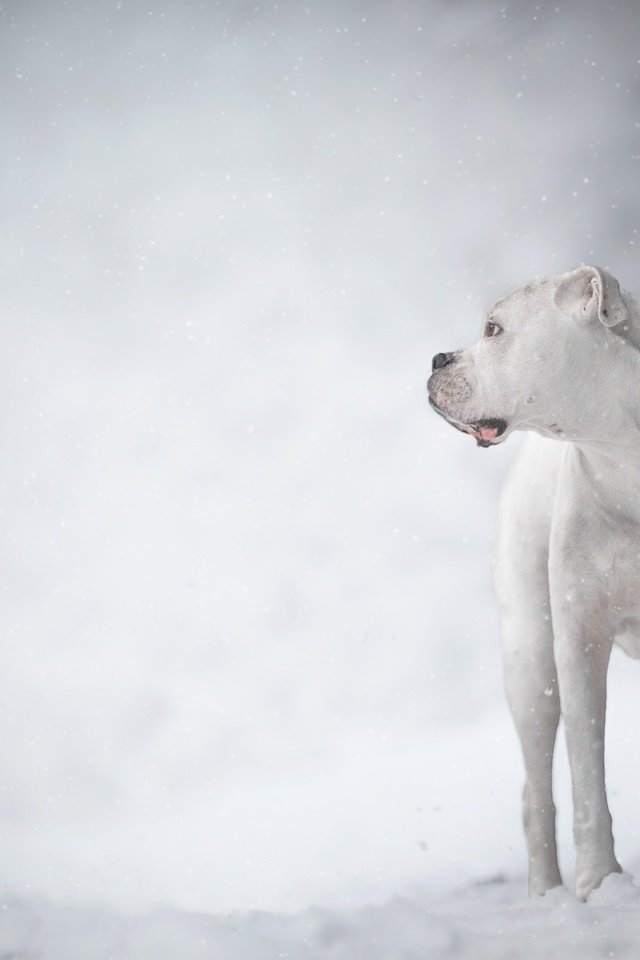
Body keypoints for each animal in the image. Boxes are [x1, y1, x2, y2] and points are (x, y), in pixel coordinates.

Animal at [428, 266, 640, 904]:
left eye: (494, 329)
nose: (438, 358)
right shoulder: (578, 638)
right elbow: (587, 772)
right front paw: (599, 881)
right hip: (530, 660)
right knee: (535, 791)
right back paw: (547, 892)